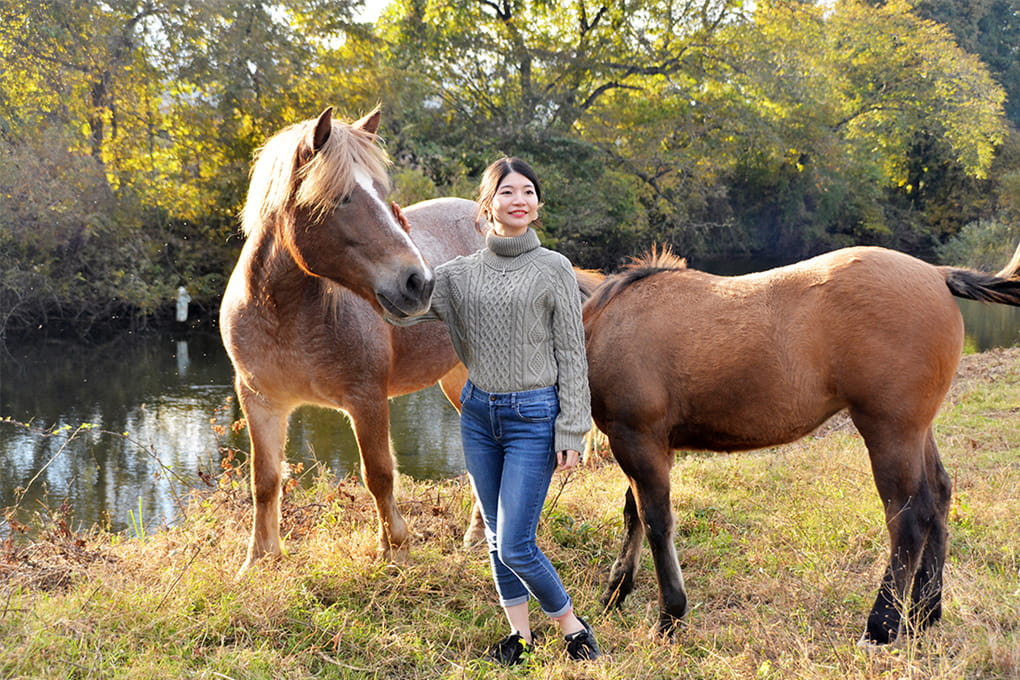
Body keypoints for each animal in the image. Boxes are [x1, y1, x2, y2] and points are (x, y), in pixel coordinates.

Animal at [219, 107, 481, 574]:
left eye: (380, 191)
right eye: (342, 198)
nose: (419, 282)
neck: (283, 315)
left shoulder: (366, 398)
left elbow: (379, 474)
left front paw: (396, 550)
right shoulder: (259, 401)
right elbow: (265, 480)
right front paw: (260, 560)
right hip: (455, 377)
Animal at [583, 243, 1020, 644]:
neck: (604, 321)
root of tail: (937, 274)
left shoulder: (636, 439)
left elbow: (656, 522)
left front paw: (669, 617)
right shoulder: (651, 447)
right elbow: (634, 513)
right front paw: (615, 593)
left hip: (890, 430)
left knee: (910, 515)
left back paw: (881, 627)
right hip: (916, 429)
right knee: (940, 495)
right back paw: (923, 614)